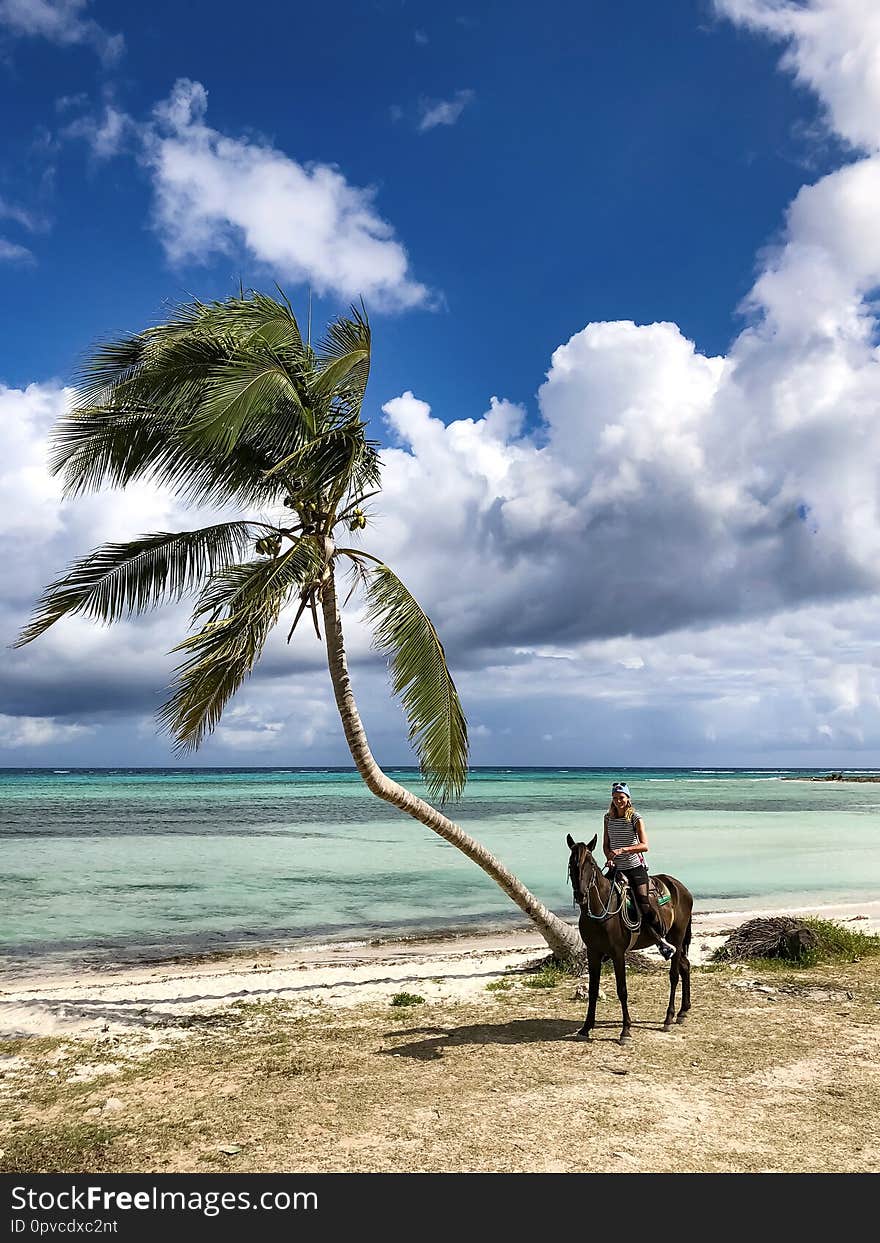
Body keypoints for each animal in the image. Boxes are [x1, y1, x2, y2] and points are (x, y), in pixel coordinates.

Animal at [564, 830, 696, 1044]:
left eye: (590, 863)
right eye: (571, 863)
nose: (581, 895)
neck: (601, 909)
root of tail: (680, 887)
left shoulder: (618, 954)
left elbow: (622, 990)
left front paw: (625, 1030)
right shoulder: (593, 953)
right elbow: (593, 990)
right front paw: (586, 1027)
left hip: (676, 938)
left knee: (675, 974)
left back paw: (668, 1017)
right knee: (686, 966)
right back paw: (683, 1011)